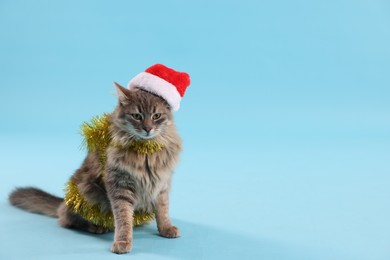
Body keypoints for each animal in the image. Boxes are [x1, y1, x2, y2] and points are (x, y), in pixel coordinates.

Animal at [8, 83, 183, 254]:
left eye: (156, 116)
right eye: (137, 116)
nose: (148, 129)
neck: (147, 151)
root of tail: (64, 201)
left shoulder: (162, 184)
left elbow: (162, 210)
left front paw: (166, 228)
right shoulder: (119, 185)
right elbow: (123, 218)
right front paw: (123, 242)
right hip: (86, 191)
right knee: (67, 219)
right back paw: (97, 226)